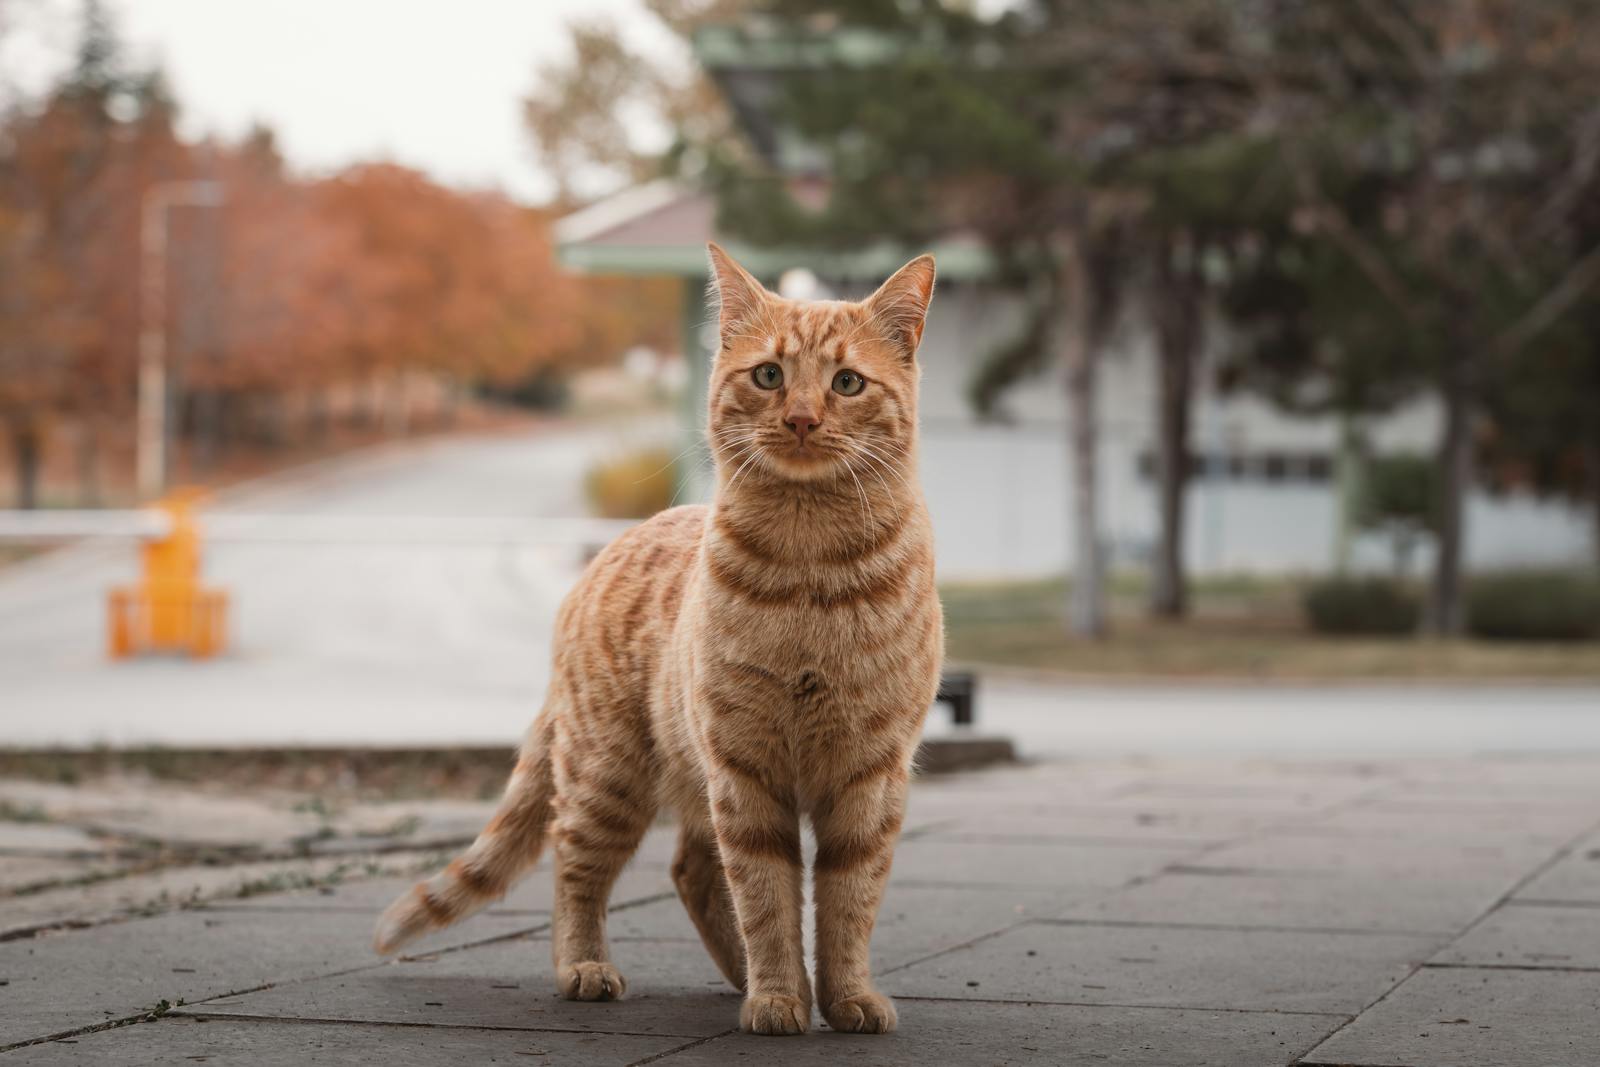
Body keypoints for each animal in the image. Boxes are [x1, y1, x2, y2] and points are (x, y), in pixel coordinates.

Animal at [376, 244, 940, 1036]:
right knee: (578, 864)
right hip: (610, 770)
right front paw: (778, 997)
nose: (801, 418)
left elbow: (848, 898)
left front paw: (842, 994)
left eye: (847, 382)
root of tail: (611, 546)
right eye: (770, 375)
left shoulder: (869, 774)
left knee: (690, 870)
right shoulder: (745, 770)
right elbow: (767, 895)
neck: (808, 568)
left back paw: (748, 977)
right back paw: (590, 967)